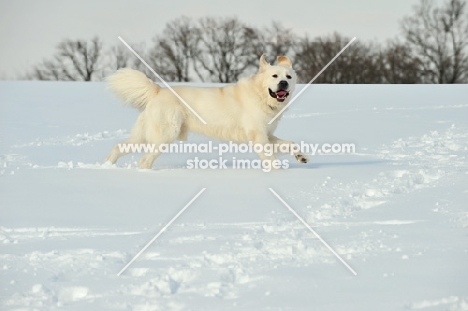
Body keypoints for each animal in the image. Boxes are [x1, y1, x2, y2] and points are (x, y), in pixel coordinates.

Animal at [107, 54, 308, 169]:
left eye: (289, 76)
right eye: (274, 76)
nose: (284, 83)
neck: (261, 95)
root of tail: (157, 90)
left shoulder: (268, 134)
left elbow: (290, 143)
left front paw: (300, 157)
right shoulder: (258, 135)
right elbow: (270, 157)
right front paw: (276, 172)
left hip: (145, 136)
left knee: (119, 147)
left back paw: (107, 165)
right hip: (164, 136)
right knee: (144, 161)